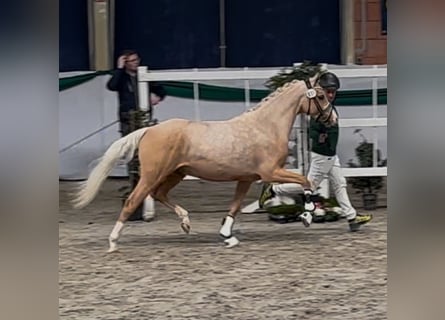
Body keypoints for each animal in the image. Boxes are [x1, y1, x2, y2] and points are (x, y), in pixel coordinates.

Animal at [73, 74, 336, 251]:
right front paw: (308, 215)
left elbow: (235, 206)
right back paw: (113, 242)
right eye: (322, 95)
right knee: (132, 201)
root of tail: (148, 130)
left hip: (175, 174)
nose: (332, 118)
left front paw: (227, 236)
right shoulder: (270, 172)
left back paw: (186, 223)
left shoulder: (246, 178)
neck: (265, 126)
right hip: (152, 174)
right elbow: (306, 181)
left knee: (159, 194)